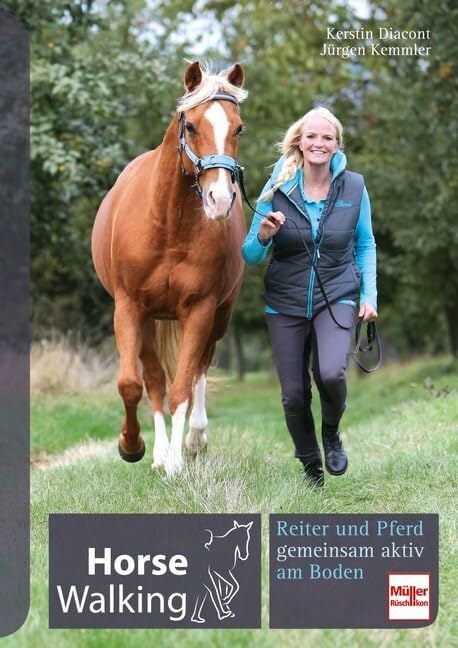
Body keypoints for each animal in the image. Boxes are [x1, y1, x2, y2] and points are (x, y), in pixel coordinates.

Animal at [91, 61, 247, 476]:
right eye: (190, 125)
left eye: (238, 128)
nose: (220, 199)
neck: (168, 226)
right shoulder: (129, 308)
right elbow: (134, 384)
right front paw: (133, 446)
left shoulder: (200, 309)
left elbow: (183, 386)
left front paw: (177, 461)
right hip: (150, 318)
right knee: (155, 379)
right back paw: (159, 452)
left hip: (220, 315)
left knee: (199, 370)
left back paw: (192, 440)